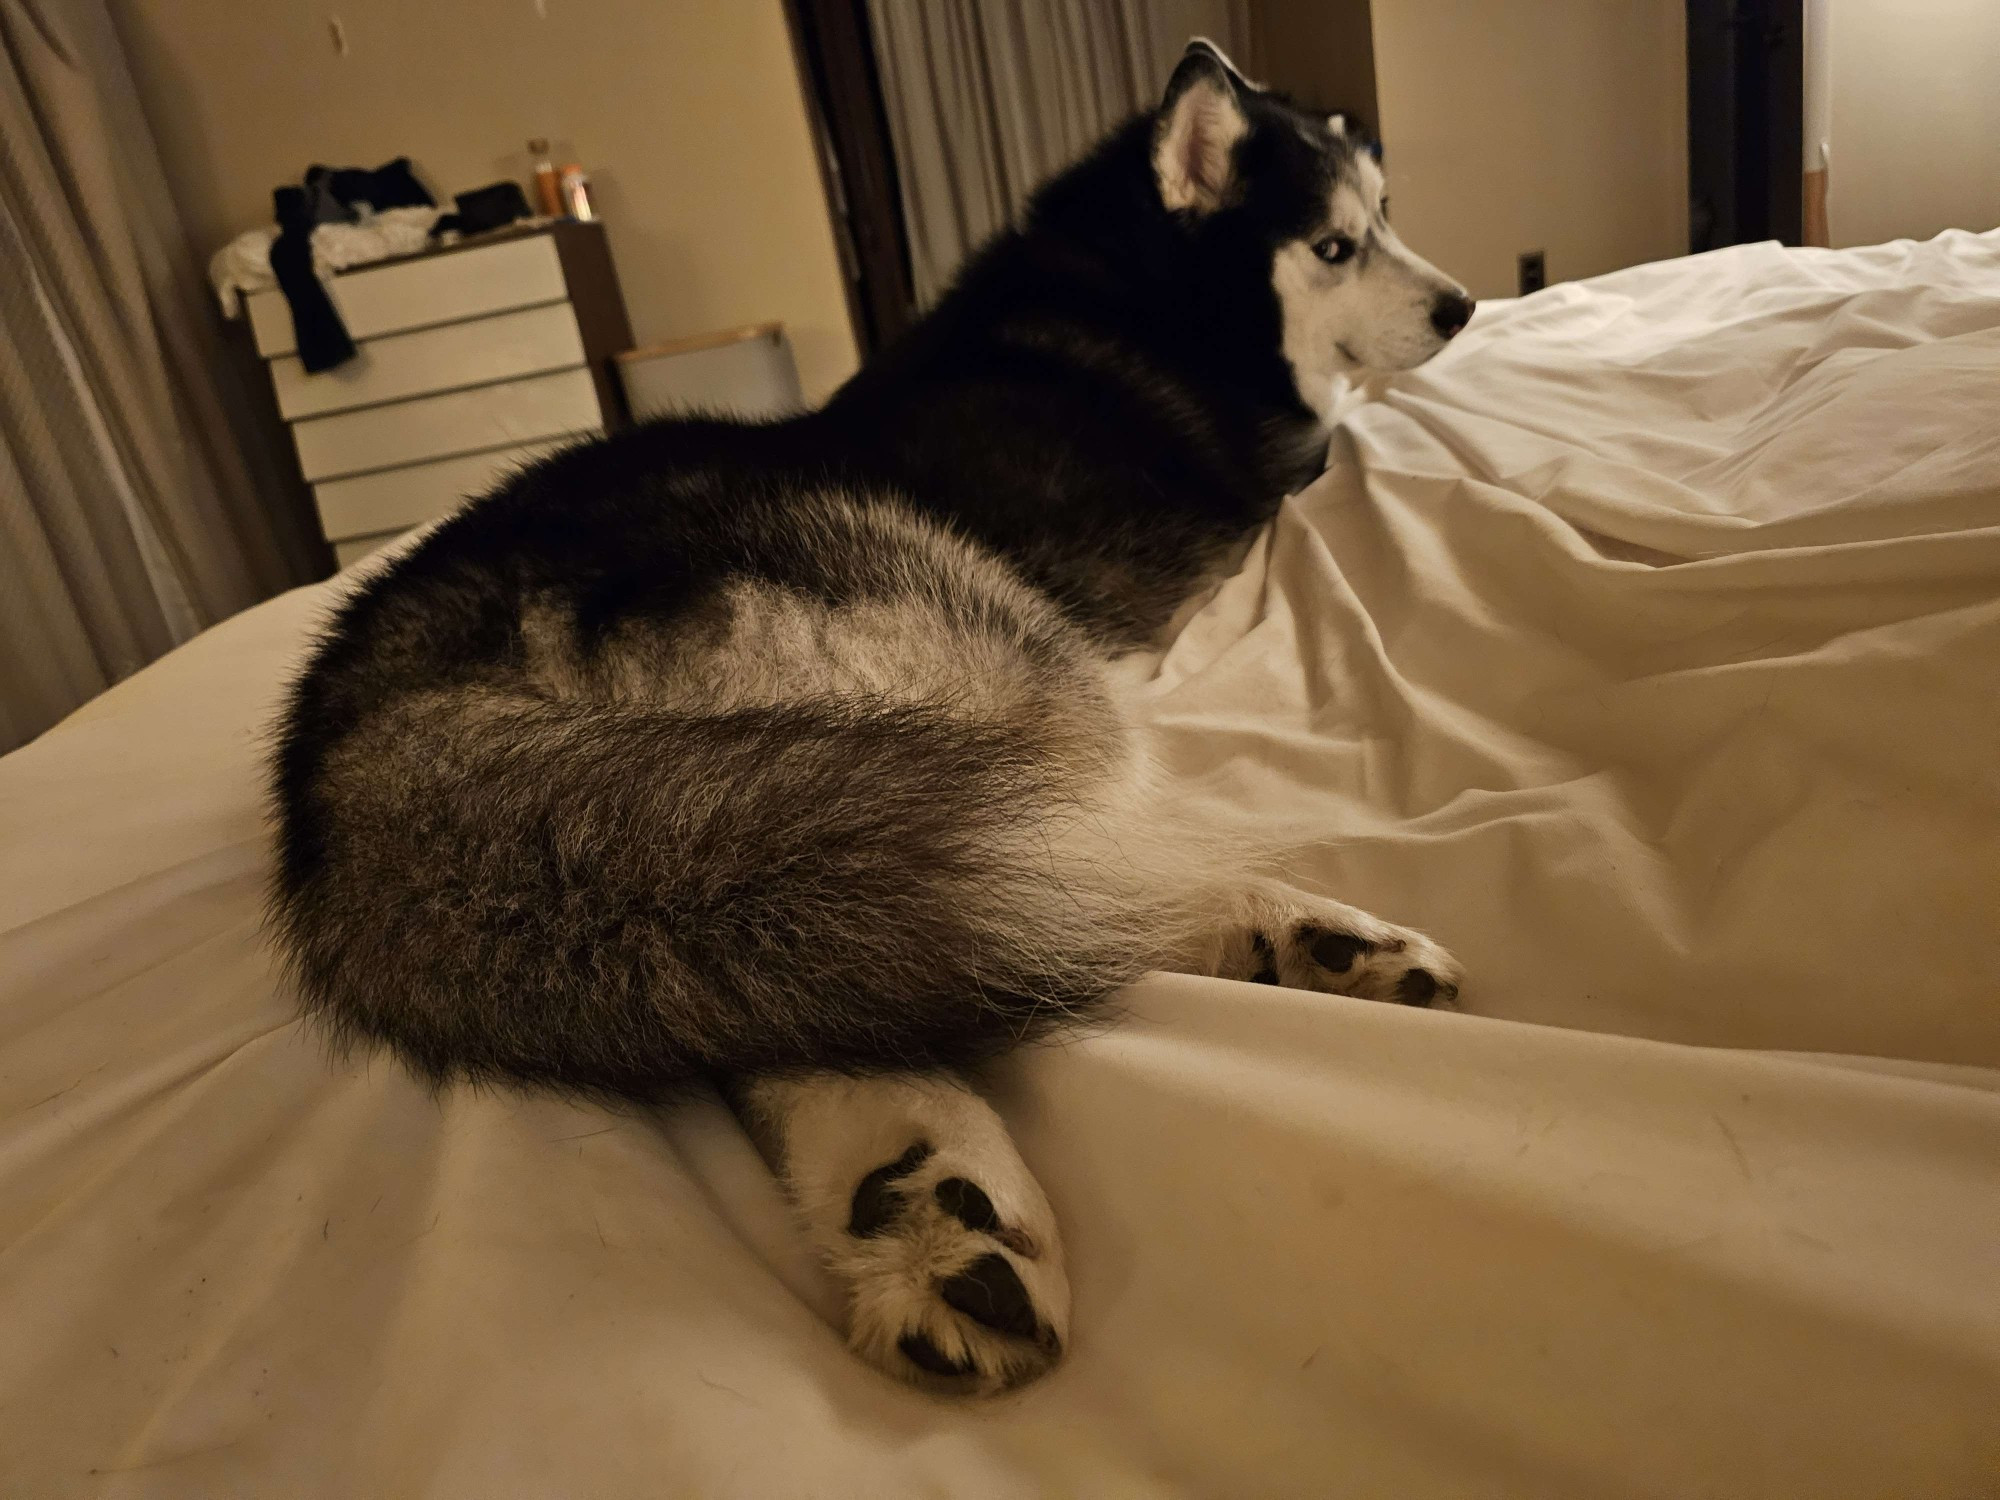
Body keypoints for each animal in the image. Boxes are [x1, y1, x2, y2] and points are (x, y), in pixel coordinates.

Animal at [270, 41, 1472, 1408]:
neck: (1144, 285)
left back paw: (920, 1201)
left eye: (1381, 218)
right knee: (1068, 879)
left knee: (803, 980)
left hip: (727, 832)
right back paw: (1307, 938)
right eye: (1337, 244)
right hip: (1005, 690)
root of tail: (359, 701)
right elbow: (1350, 429)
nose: (1461, 307)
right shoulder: (1296, 463)